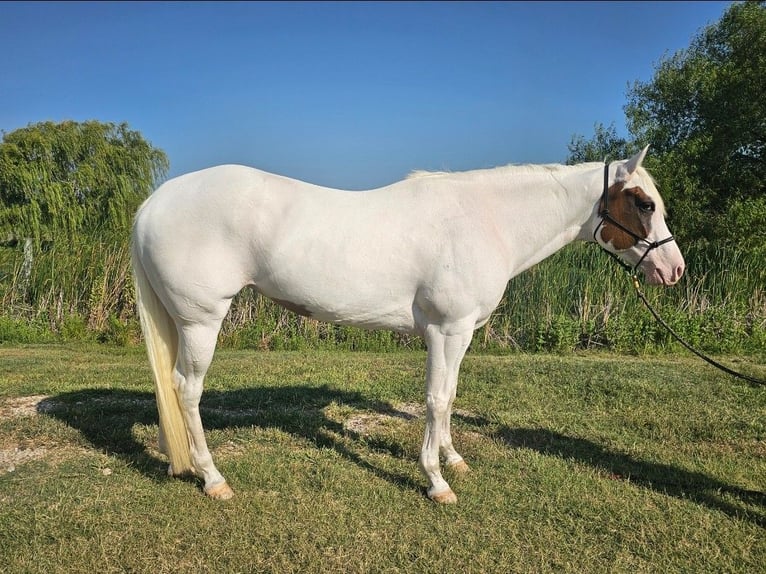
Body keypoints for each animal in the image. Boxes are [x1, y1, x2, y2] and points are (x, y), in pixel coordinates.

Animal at [130, 146, 685, 504]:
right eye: (644, 203)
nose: (674, 269)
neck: (486, 219)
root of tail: (152, 205)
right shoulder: (447, 329)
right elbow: (436, 400)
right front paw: (437, 482)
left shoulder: (461, 334)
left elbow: (451, 396)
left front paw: (454, 458)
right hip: (202, 321)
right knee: (186, 389)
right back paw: (213, 478)